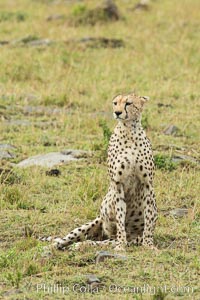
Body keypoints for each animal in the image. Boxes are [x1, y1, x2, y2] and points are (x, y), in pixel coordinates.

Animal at [39, 93, 157, 251]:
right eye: (115, 103)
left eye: (128, 103)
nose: (117, 112)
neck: (129, 130)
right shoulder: (118, 185)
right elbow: (120, 218)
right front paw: (121, 246)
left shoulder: (147, 184)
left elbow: (149, 218)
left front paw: (149, 245)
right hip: (90, 224)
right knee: (65, 240)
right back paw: (53, 247)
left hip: (117, 237)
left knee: (98, 242)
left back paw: (81, 245)